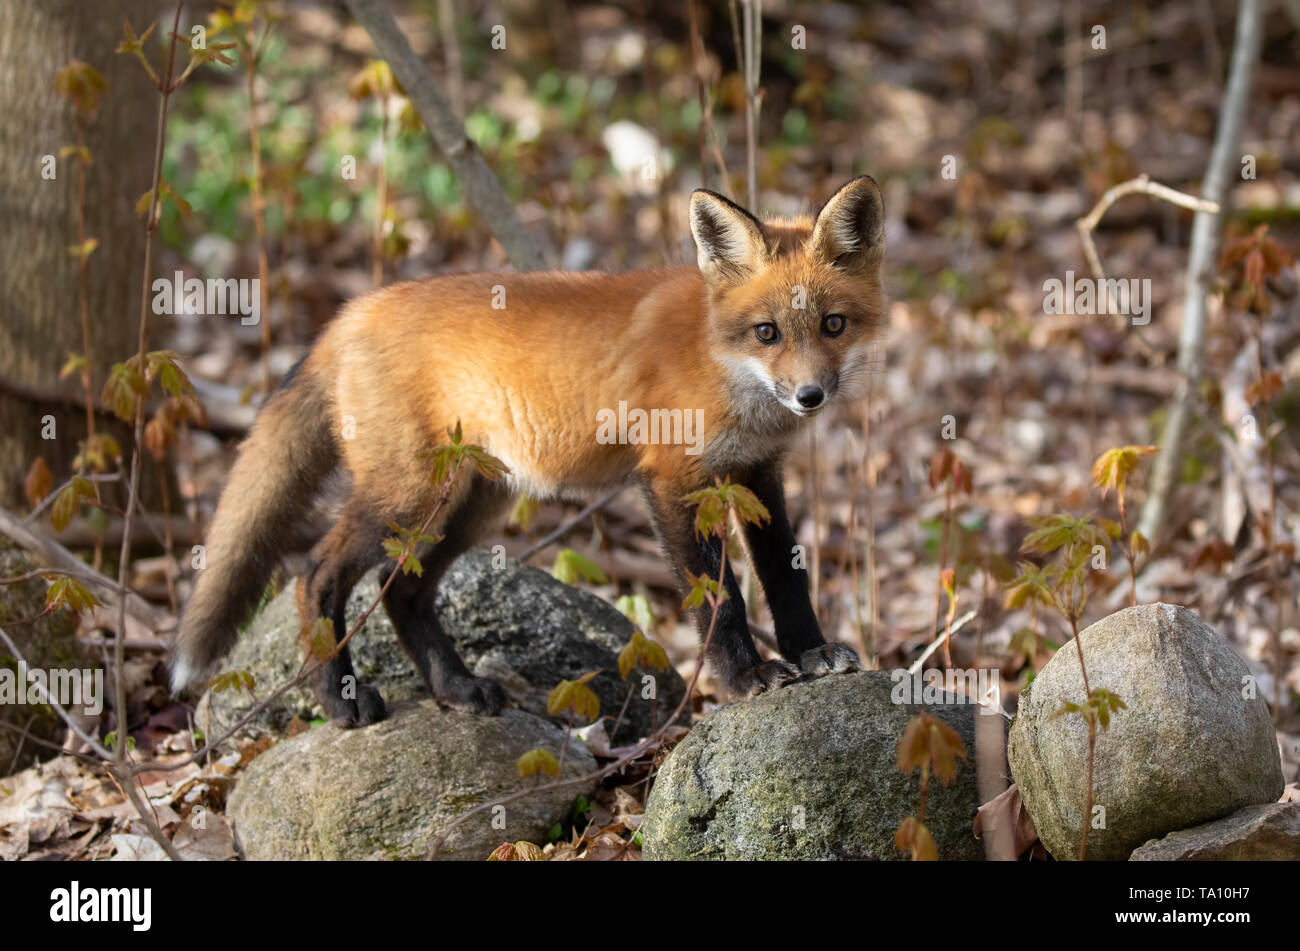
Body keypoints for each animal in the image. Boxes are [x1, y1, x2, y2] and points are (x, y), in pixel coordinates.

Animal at [171, 176, 886, 727]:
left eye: (833, 325)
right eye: (767, 333)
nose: (810, 396)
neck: (720, 362)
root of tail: (350, 313)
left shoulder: (758, 474)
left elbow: (787, 577)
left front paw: (812, 655)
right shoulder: (672, 479)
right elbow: (722, 598)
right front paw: (745, 679)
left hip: (469, 506)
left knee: (403, 592)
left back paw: (455, 688)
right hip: (406, 498)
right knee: (315, 575)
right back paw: (340, 701)